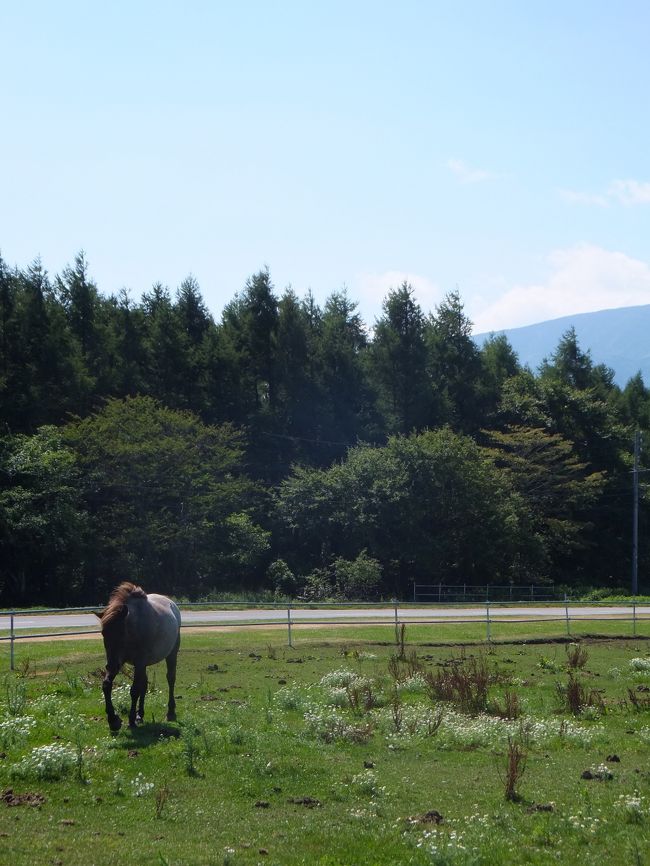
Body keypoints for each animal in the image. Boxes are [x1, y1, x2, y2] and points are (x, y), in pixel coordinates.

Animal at [95, 580, 180, 728]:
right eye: (103, 633)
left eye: (121, 632)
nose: (110, 665)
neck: (135, 628)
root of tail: (171, 603)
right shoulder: (121, 661)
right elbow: (106, 685)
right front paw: (113, 719)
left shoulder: (138, 662)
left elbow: (134, 690)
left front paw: (131, 719)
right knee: (144, 685)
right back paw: (140, 715)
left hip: (171, 654)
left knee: (170, 678)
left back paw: (170, 712)